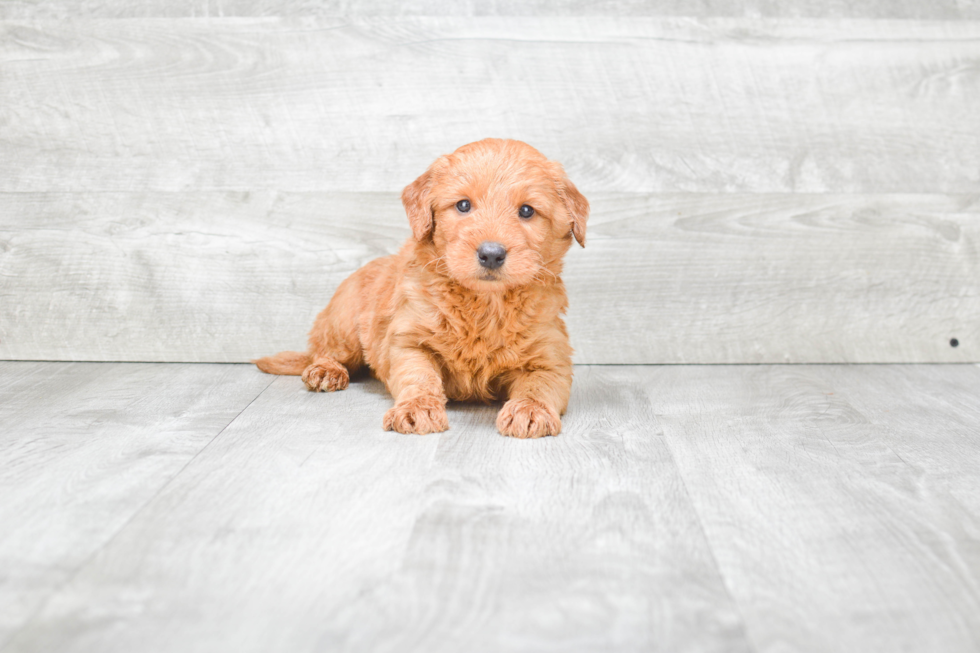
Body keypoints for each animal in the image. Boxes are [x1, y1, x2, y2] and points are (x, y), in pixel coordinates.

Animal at [255, 138, 588, 436]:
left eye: (527, 211)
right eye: (463, 205)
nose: (491, 254)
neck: (484, 304)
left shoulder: (550, 357)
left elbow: (539, 385)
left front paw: (529, 410)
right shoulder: (408, 340)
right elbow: (419, 376)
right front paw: (417, 408)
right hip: (343, 324)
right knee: (325, 351)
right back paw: (327, 370)